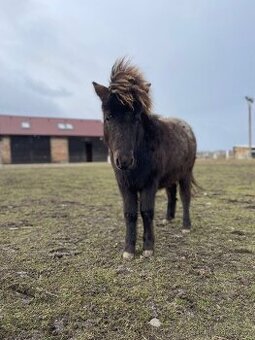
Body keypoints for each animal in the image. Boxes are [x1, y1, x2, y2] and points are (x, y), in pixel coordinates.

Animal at [92, 59, 196, 260]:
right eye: (108, 117)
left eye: (136, 117)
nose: (124, 161)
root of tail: (187, 128)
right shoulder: (124, 185)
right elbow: (130, 214)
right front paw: (129, 250)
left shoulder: (150, 183)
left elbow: (146, 212)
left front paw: (148, 248)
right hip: (170, 176)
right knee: (172, 194)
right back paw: (168, 219)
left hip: (185, 174)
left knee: (185, 197)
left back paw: (186, 226)